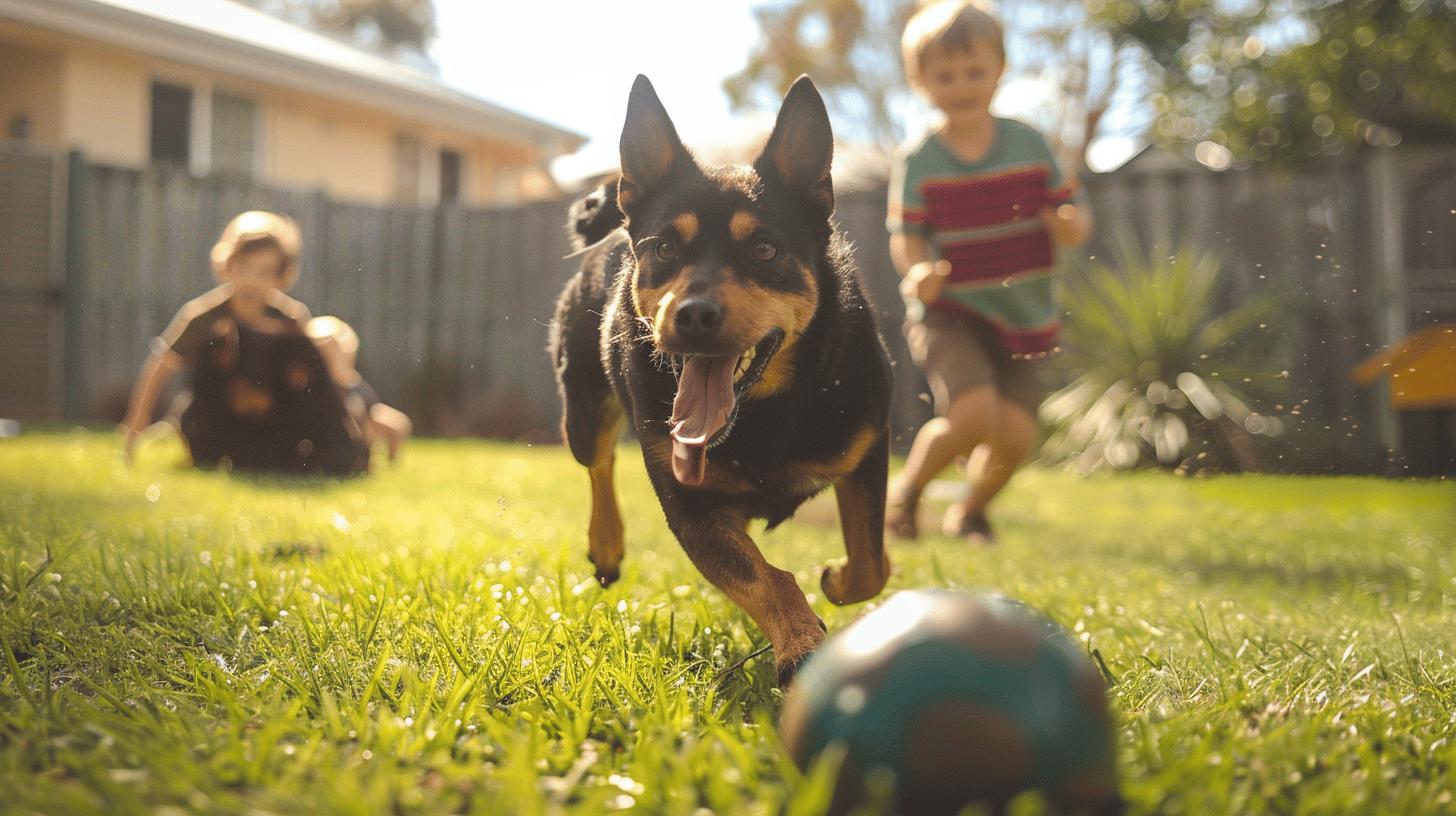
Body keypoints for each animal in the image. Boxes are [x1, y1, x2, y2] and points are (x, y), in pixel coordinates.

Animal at [547, 76, 885, 684]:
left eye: (766, 249)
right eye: (664, 248)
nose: (694, 315)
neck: (767, 411)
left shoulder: (869, 448)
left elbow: (871, 562)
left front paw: (836, 580)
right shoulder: (688, 501)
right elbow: (764, 577)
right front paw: (800, 644)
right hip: (582, 404)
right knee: (598, 460)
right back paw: (606, 545)